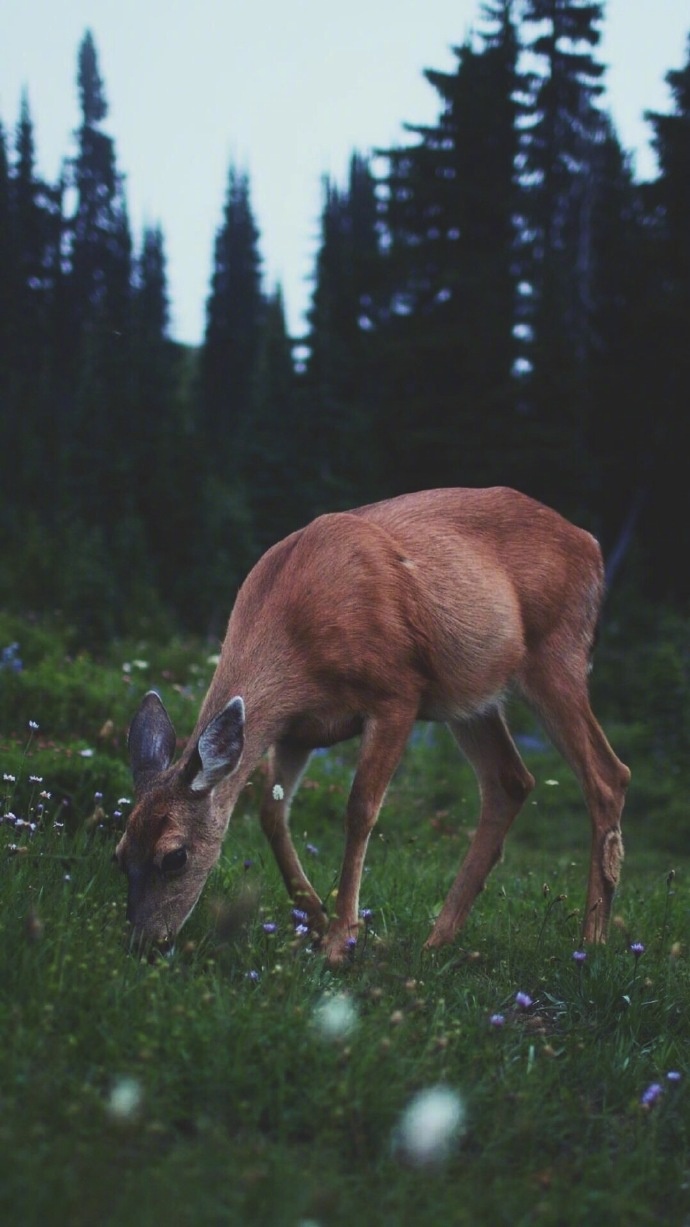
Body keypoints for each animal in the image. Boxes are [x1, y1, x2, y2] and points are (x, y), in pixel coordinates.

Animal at [114, 483, 628, 961]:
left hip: (555, 653)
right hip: (470, 695)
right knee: (511, 781)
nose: (144, 943)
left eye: (175, 857)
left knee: (608, 775)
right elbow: (271, 813)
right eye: (120, 855)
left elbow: (360, 809)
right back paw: (438, 938)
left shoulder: (396, 693)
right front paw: (315, 915)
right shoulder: (296, 730)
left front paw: (342, 938)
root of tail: (591, 545)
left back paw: (591, 940)